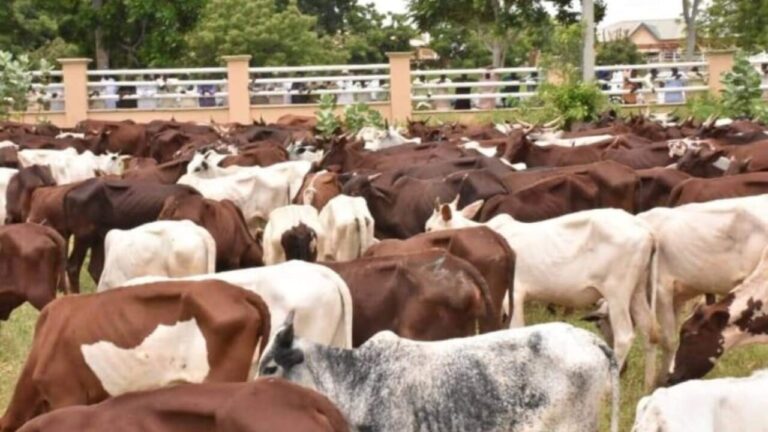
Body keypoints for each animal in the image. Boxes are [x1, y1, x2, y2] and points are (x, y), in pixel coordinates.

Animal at [426, 203, 659, 389]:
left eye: (429, 228)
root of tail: (647, 231)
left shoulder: (513, 296)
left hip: (617, 292)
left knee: (624, 336)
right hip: (637, 291)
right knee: (649, 331)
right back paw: (648, 385)